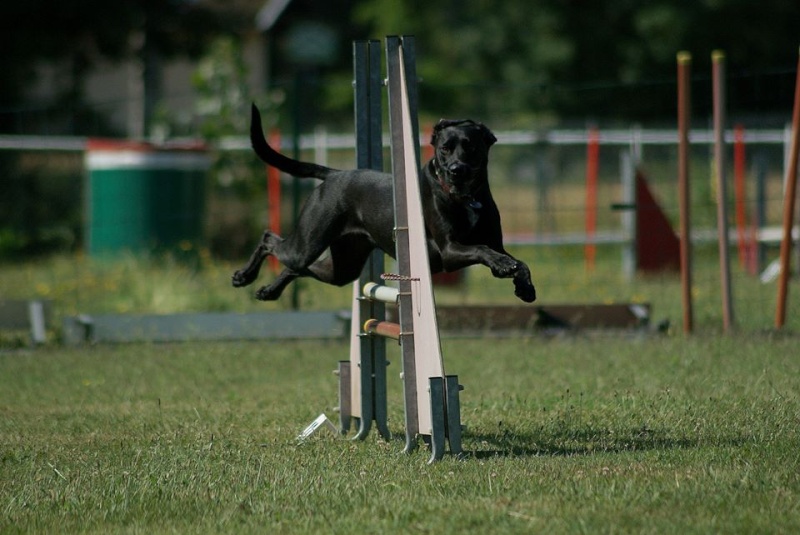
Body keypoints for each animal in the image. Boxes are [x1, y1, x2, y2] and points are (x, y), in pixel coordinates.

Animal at [233, 104, 536, 306]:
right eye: (444, 149)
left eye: (471, 147)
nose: (455, 170)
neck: (465, 198)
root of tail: (334, 174)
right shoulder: (450, 250)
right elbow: (482, 249)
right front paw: (503, 265)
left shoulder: (494, 243)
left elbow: (518, 261)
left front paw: (524, 287)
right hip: (309, 241)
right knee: (269, 240)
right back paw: (243, 276)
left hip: (343, 267)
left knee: (297, 268)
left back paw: (268, 291)